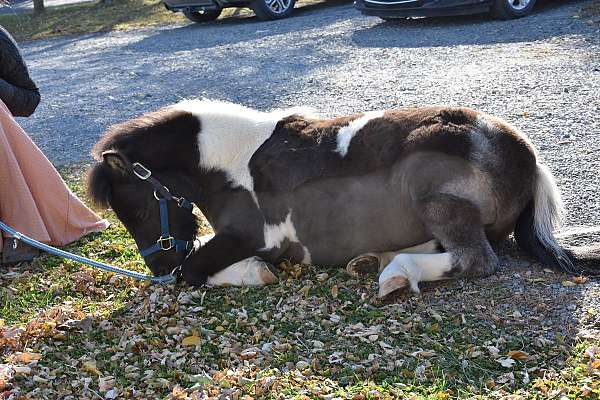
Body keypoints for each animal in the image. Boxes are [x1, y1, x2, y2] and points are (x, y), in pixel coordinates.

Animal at [86, 98, 596, 296]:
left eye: (137, 208)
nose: (158, 267)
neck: (231, 162)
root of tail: (528, 157)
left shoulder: (255, 237)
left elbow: (194, 272)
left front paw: (254, 273)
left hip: (434, 197)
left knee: (476, 259)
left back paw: (394, 274)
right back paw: (371, 260)